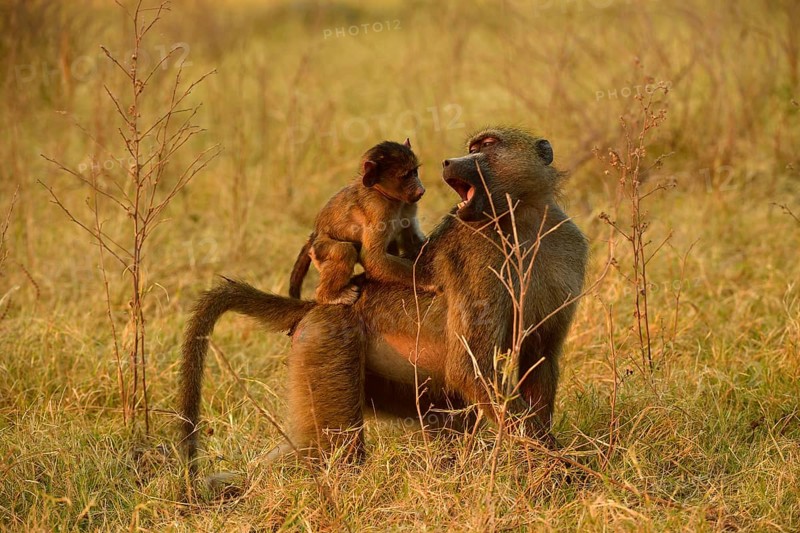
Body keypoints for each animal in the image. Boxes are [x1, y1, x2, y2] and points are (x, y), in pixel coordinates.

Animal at [288, 139, 430, 305]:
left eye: (415, 172)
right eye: (405, 176)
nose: (421, 190)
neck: (384, 193)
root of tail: (314, 235)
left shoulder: (408, 205)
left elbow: (410, 238)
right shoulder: (378, 210)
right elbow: (372, 257)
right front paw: (427, 281)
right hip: (320, 248)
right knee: (344, 251)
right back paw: (329, 296)